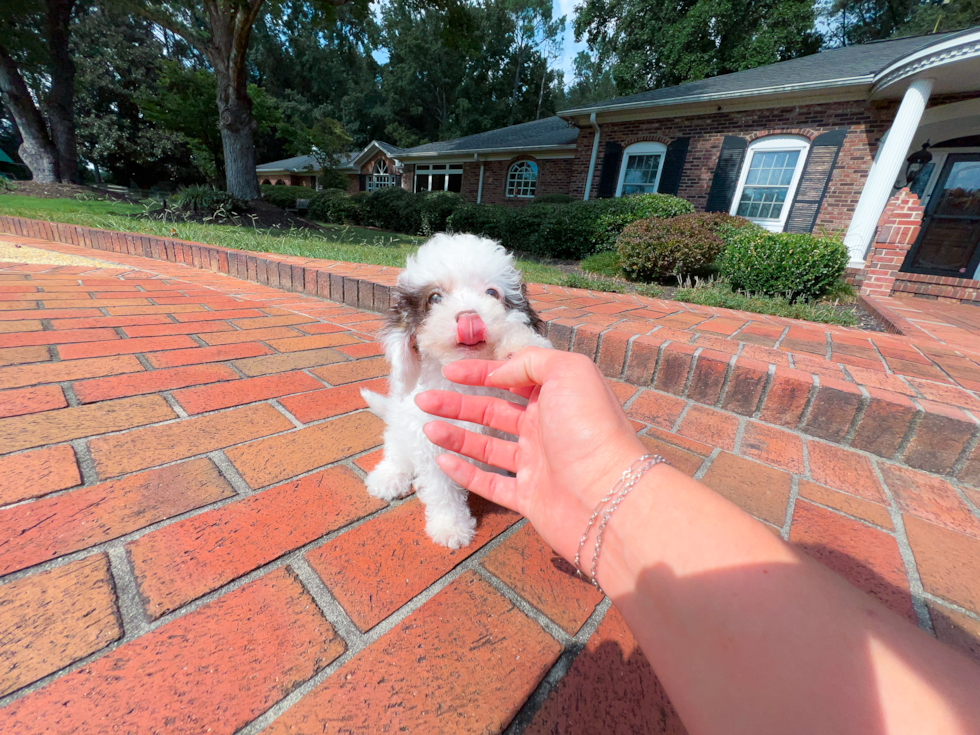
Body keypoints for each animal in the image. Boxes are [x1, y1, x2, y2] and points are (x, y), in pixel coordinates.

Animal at [364, 233, 556, 548]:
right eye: (435, 298)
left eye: (492, 293)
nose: (469, 318)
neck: (467, 385)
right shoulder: (433, 441)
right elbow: (442, 492)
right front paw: (450, 527)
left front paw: (520, 345)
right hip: (400, 428)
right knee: (396, 452)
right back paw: (389, 478)